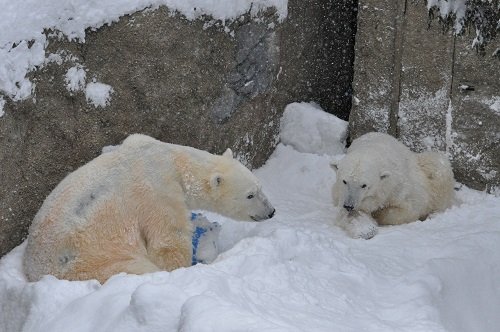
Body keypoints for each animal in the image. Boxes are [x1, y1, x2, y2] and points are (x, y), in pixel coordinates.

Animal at [23, 134, 276, 284]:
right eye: (250, 194)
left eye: (260, 187)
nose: (271, 211)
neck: (173, 160)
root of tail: (33, 270)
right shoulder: (158, 191)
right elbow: (167, 239)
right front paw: (180, 268)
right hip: (90, 261)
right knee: (134, 268)